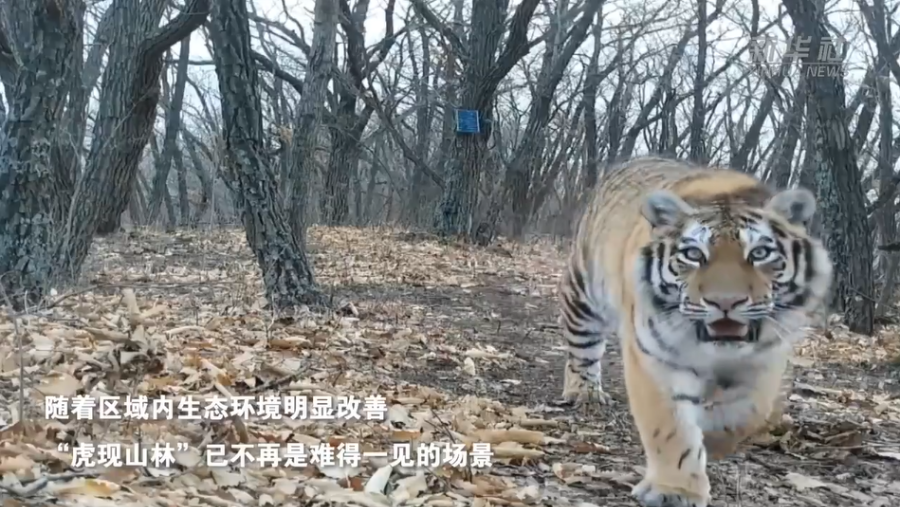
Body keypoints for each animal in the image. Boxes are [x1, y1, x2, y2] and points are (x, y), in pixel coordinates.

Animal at [557, 156, 833, 507]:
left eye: (759, 253)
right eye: (693, 254)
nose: (725, 302)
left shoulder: (766, 361)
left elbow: (746, 414)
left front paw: (712, 442)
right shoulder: (654, 358)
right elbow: (670, 427)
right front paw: (675, 490)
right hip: (584, 293)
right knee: (582, 349)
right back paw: (585, 393)